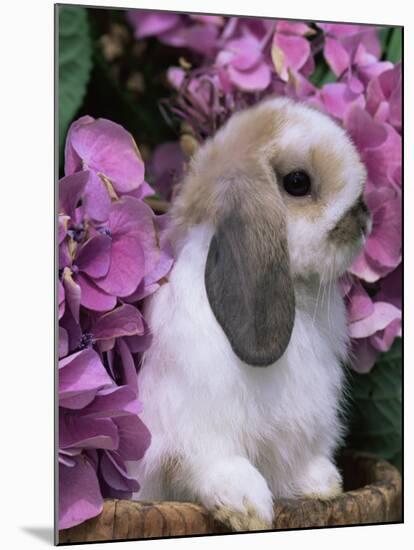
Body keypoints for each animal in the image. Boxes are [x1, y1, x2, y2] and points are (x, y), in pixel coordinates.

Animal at [129, 97, 368, 532]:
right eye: (297, 183)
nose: (364, 218)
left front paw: (322, 483)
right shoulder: (198, 431)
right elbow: (216, 464)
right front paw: (246, 506)